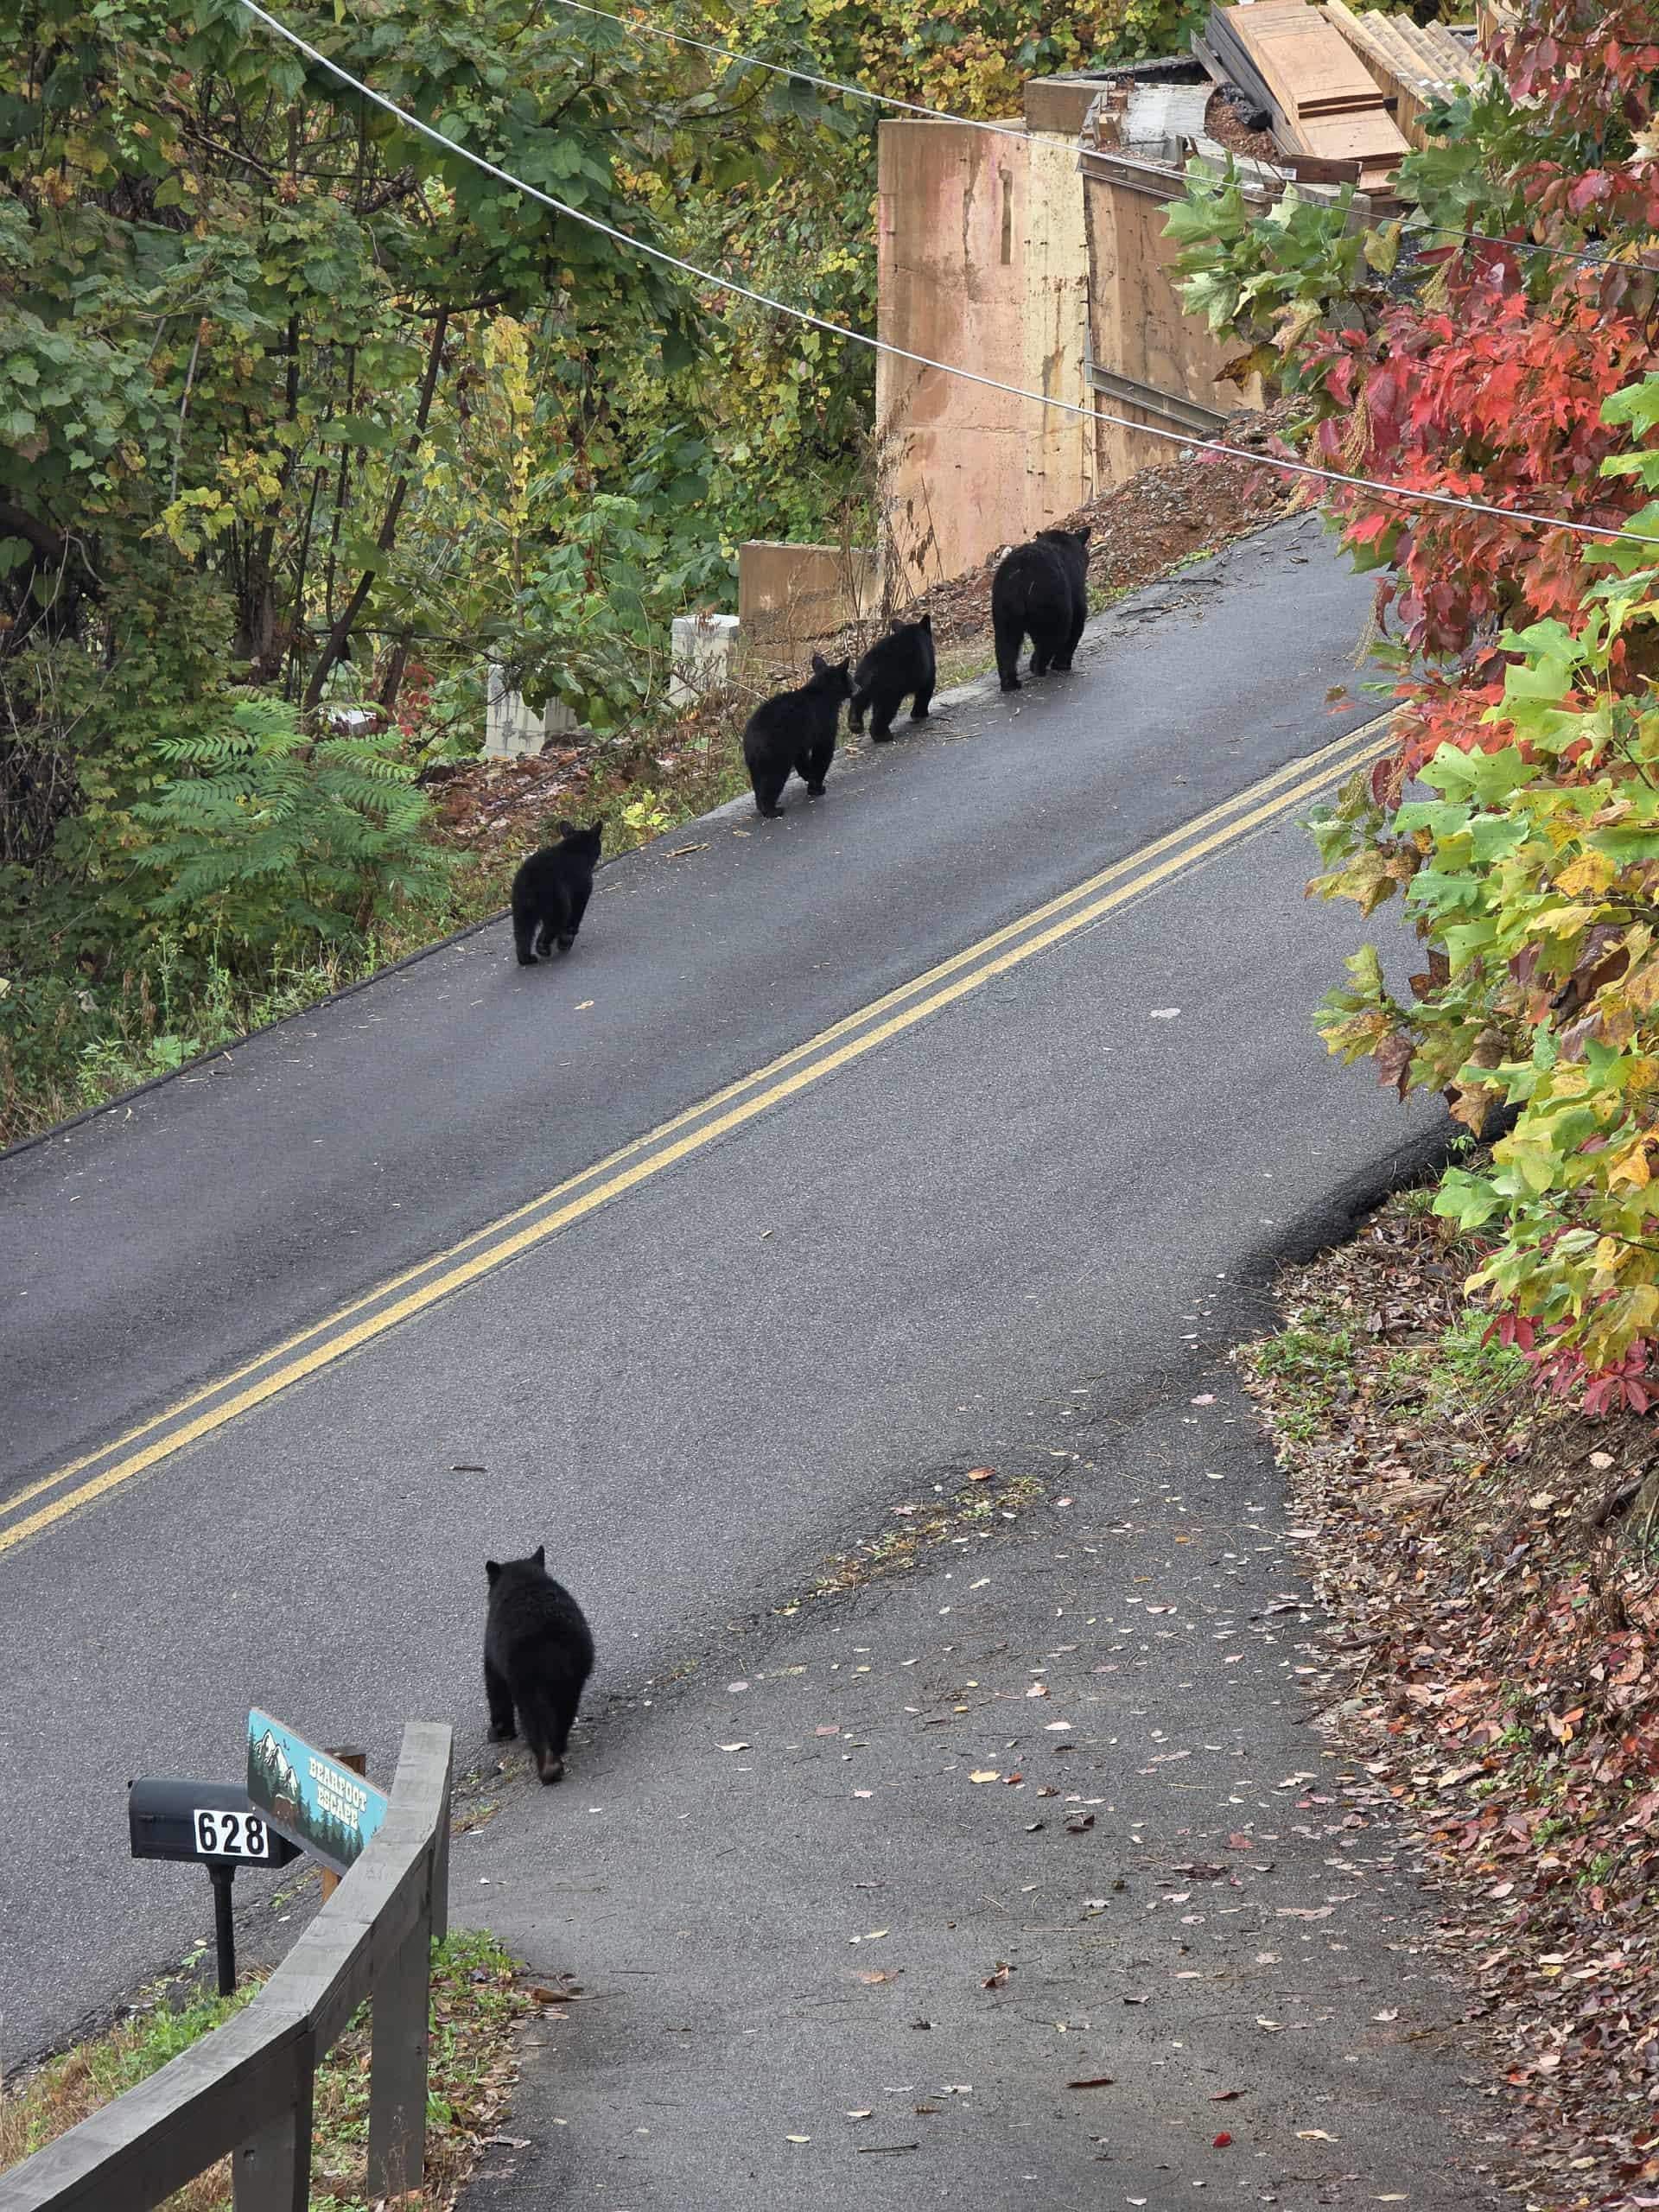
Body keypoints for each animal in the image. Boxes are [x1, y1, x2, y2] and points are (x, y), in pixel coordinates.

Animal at [483, 1545, 595, 1785]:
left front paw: (498, 1732)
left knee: (534, 1717)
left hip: (525, 1673)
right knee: (565, 1708)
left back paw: (548, 1767)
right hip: (575, 1669)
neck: (523, 1579)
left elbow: (495, 1687)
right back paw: (559, 1747)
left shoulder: (492, 1649)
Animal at [510, 820, 602, 966]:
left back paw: (526, 958)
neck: (575, 849)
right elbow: (576, 912)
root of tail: (530, 880)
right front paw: (567, 938)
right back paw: (543, 947)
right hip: (555, 898)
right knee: (556, 920)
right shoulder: (582, 885)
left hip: (520, 904)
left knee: (523, 931)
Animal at [741, 652, 852, 817]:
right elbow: (823, 752)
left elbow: (802, 759)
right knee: (773, 779)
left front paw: (809, 777)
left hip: (755, 762)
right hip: (775, 754)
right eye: (850, 679)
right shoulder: (824, 722)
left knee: (759, 781)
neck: (824, 694)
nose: (859, 687)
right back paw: (772, 810)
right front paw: (817, 788)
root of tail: (751, 740)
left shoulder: (799, 740)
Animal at [848, 614, 936, 743]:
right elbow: (925, 691)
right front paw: (920, 714)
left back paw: (855, 725)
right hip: (890, 688)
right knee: (885, 710)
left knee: (858, 701)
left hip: (860, 682)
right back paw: (882, 735)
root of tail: (871, 667)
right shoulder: (928, 671)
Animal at [991, 526, 1091, 693]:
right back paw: (1038, 667)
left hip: (1003, 608)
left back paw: (1010, 683)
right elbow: (1077, 623)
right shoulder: (1075, 591)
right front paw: (1062, 664)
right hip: (1051, 601)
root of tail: (1020, 577)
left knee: (1006, 644)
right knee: (1053, 636)